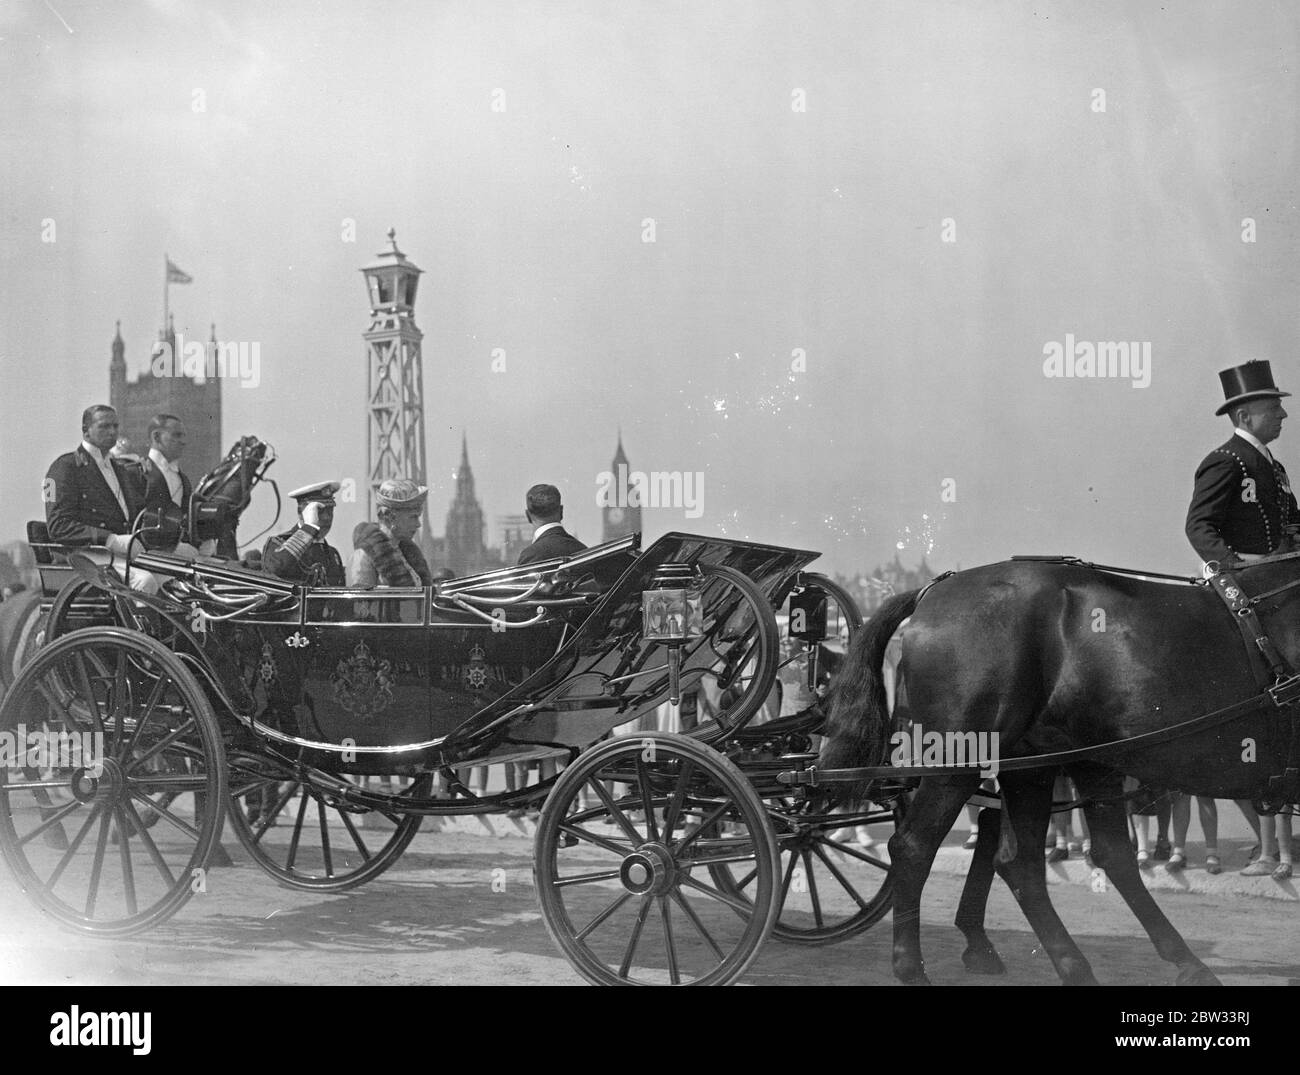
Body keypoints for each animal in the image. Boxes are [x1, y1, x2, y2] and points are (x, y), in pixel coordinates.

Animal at [821, 558, 1300, 987]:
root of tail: (933, 590)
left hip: (1043, 765)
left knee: (1035, 861)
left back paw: (1086, 965)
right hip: (960, 764)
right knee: (913, 847)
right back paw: (911, 967)